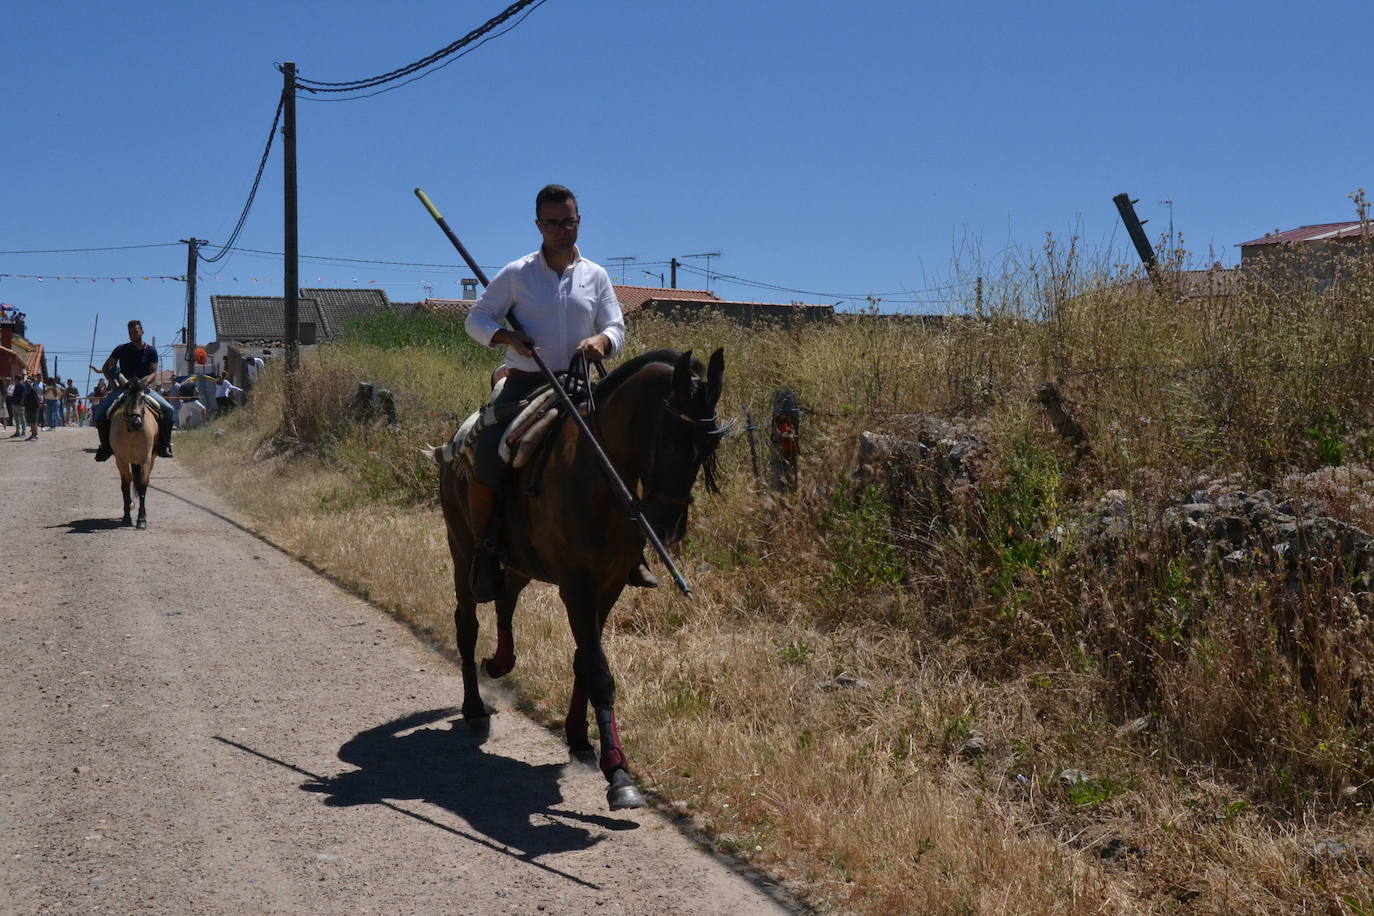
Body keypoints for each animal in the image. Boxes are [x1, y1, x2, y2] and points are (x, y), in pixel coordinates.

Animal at [110, 373, 162, 530]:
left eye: (143, 397)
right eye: (126, 396)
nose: (136, 422)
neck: (132, 432)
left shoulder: (145, 459)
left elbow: (142, 485)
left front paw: (141, 519)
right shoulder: (121, 460)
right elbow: (125, 486)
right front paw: (127, 516)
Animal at [439, 347, 730, 807]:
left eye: (708, 446)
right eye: (668, 439)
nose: (667, 526)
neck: (598, 474)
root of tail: (455, 445)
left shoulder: (607, 586)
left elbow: (583, 661)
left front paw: (579, 738)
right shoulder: (577, 587)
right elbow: (598, 669)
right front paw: (618, 771)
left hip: (521, 563)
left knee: (505, 599)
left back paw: (501, 662)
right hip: (461, 547)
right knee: (467, 622)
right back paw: (473, 709)